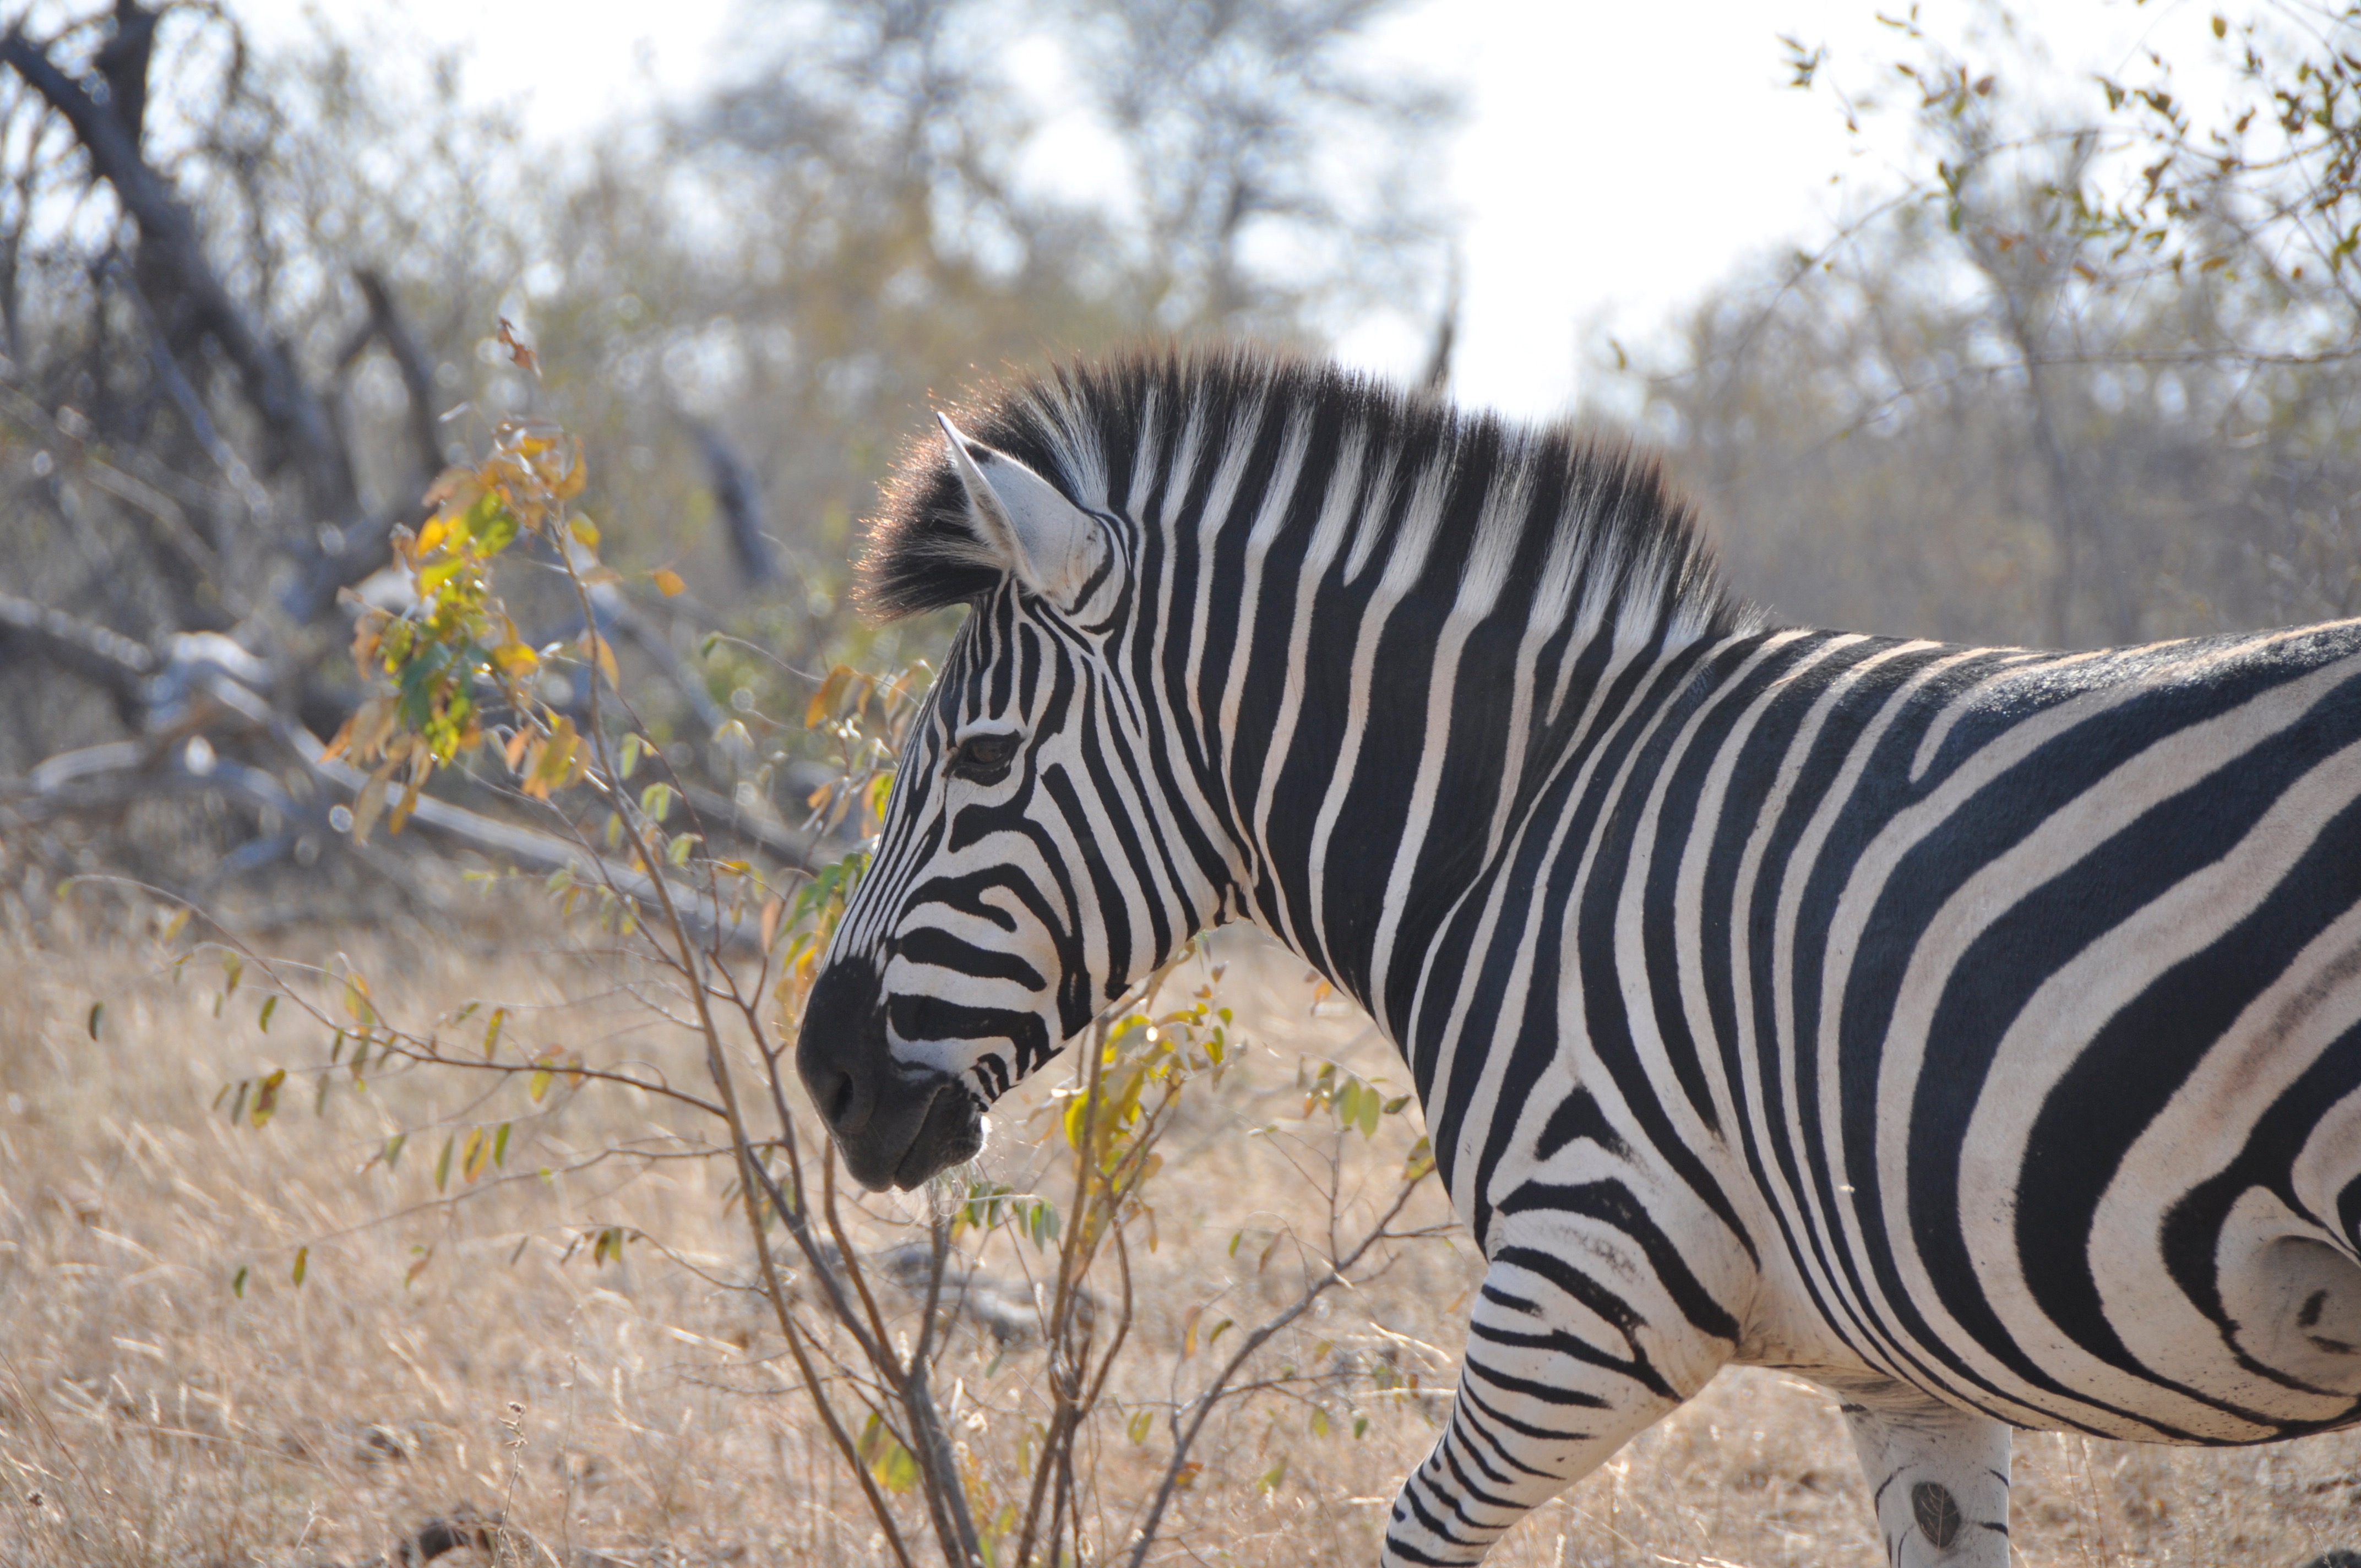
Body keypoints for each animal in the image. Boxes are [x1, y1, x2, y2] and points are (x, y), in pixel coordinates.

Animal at [798, 349, 2361, 1558]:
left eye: (979, 759)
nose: (824, 1074)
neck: (1516, 832)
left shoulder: (1589, 1278)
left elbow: (1414, 1527)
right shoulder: (1905, 1365)